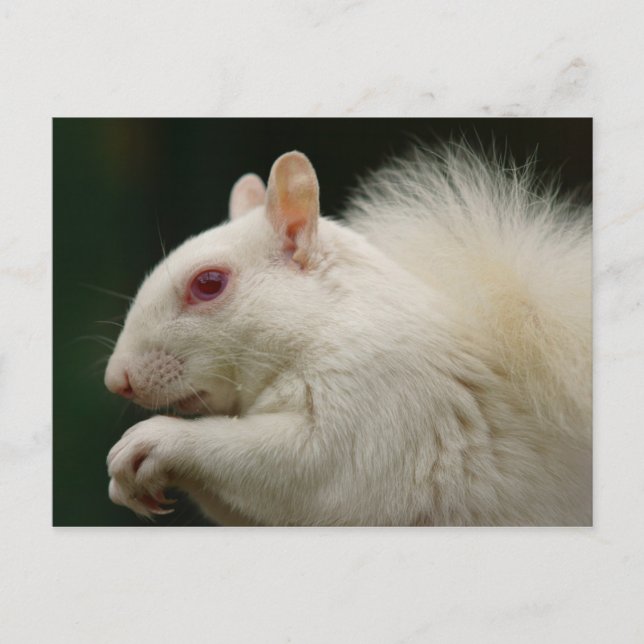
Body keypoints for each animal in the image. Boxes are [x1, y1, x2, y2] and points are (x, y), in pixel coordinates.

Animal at [104, 146, 592, 526]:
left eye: (208, 283)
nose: (116, 380)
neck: (325, 323)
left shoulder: (381, 405)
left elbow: (305, 467)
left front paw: (157, 441)